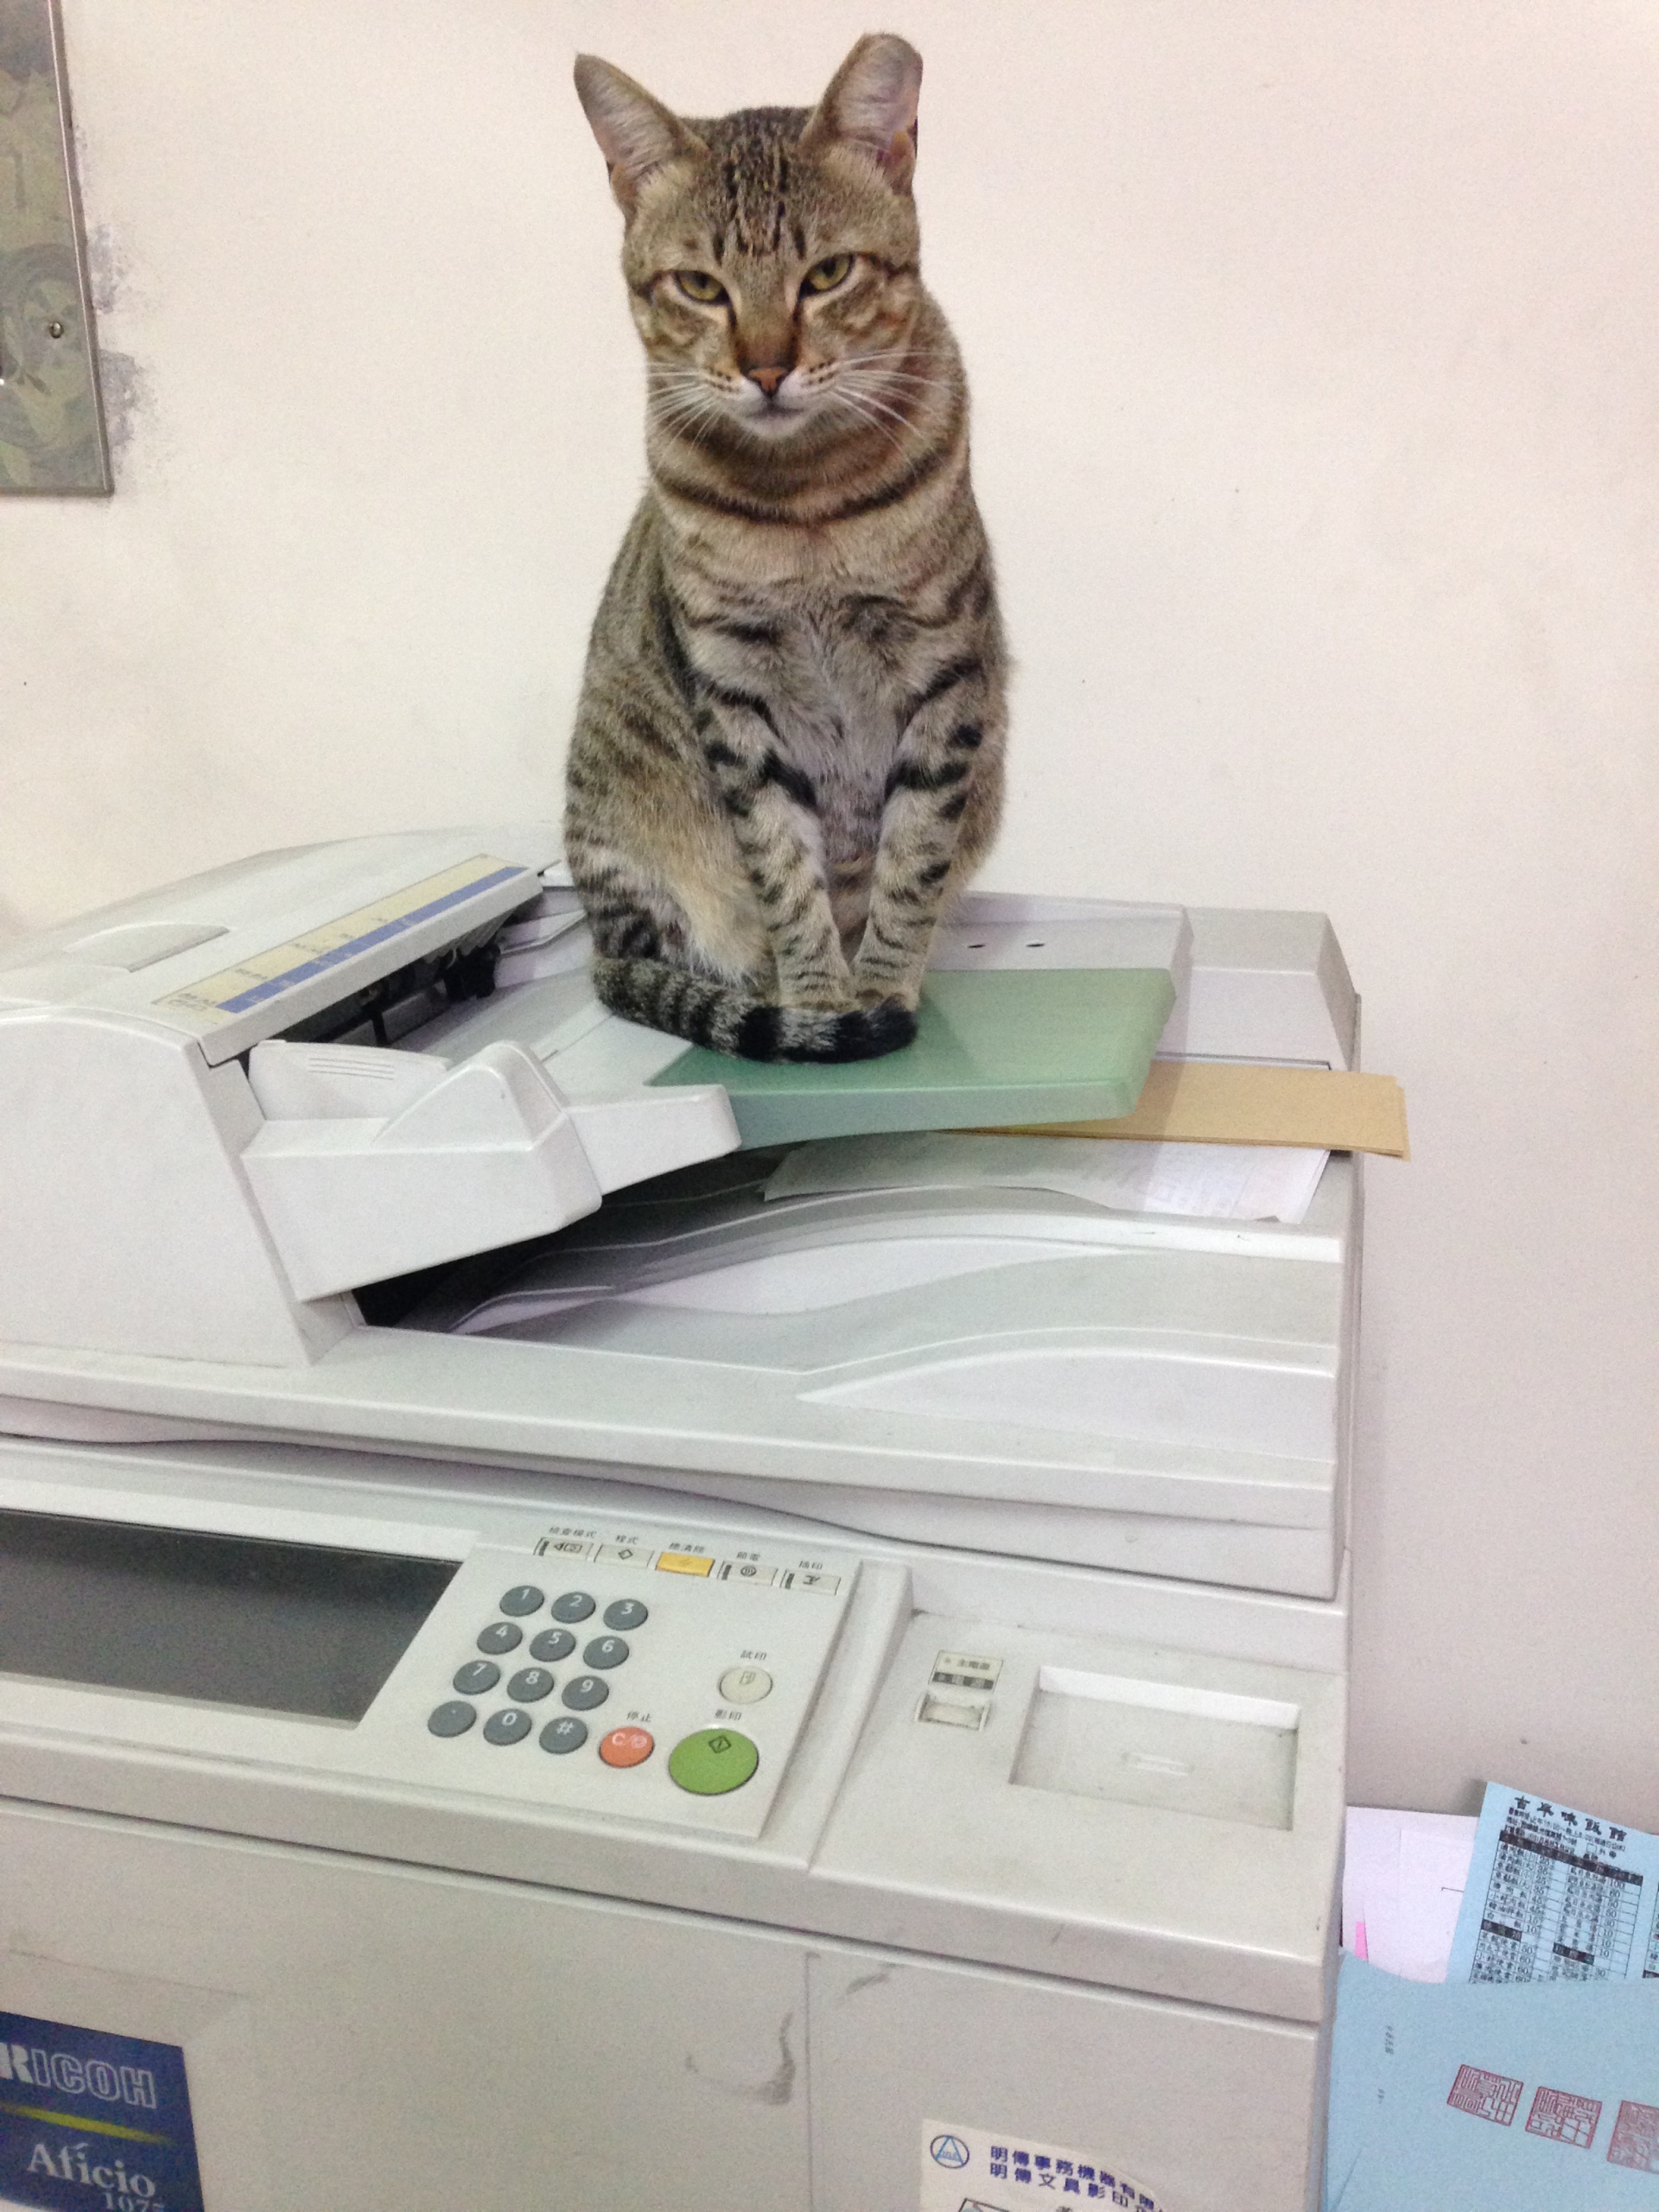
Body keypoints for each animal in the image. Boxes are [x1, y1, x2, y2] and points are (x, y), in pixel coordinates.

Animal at [564, 33, 1006, 1063]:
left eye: (828, 274)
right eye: (699, 286)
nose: (767, 368)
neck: (805, 504)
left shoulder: (943, 675)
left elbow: (911, 859)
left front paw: (879, 986)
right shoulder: (734, 691)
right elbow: (781, 868)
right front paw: (819, 999)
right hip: (623, 825)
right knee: (661, 960)